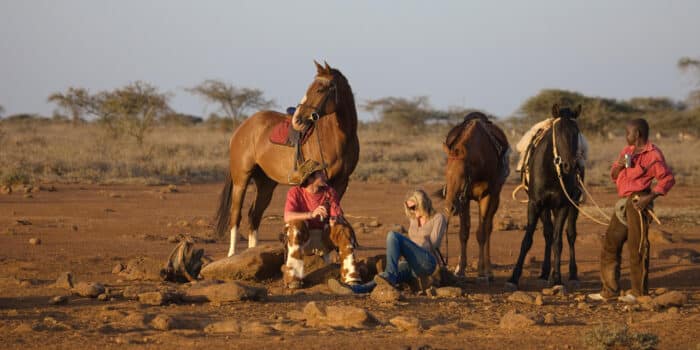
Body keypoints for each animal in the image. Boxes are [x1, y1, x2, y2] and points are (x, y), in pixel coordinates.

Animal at [213, 61, 358, 256]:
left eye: (320, 89)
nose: (298, 119)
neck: (336, 137)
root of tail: (242, 128)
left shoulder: (342, 181)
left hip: (266, 184)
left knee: (254, 215)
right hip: (241, 180)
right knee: (236, 215)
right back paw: (232, 254)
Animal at [446, 113, 512, 280]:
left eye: (462, 176)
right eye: (446, 174)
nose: (449, 208)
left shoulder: (486, 196)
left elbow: (482, 233)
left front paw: (482, 272)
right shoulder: (464, 199)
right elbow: (464, 233)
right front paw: (460, 269)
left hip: (495, 198)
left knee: (488, 228)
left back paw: (488, 269)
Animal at [506, 104, 584, 290]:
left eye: (576, 132)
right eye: (558, 132)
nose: (570, 166)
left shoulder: (563, 205)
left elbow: (559, 241)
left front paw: (557, 279)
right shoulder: (535, 204)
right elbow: (528, 240)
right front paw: (513, 278)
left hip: (573, 204)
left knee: (570, 234)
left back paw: (572, 274)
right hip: (546, 207)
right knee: (548, 233)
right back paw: (544, 273)